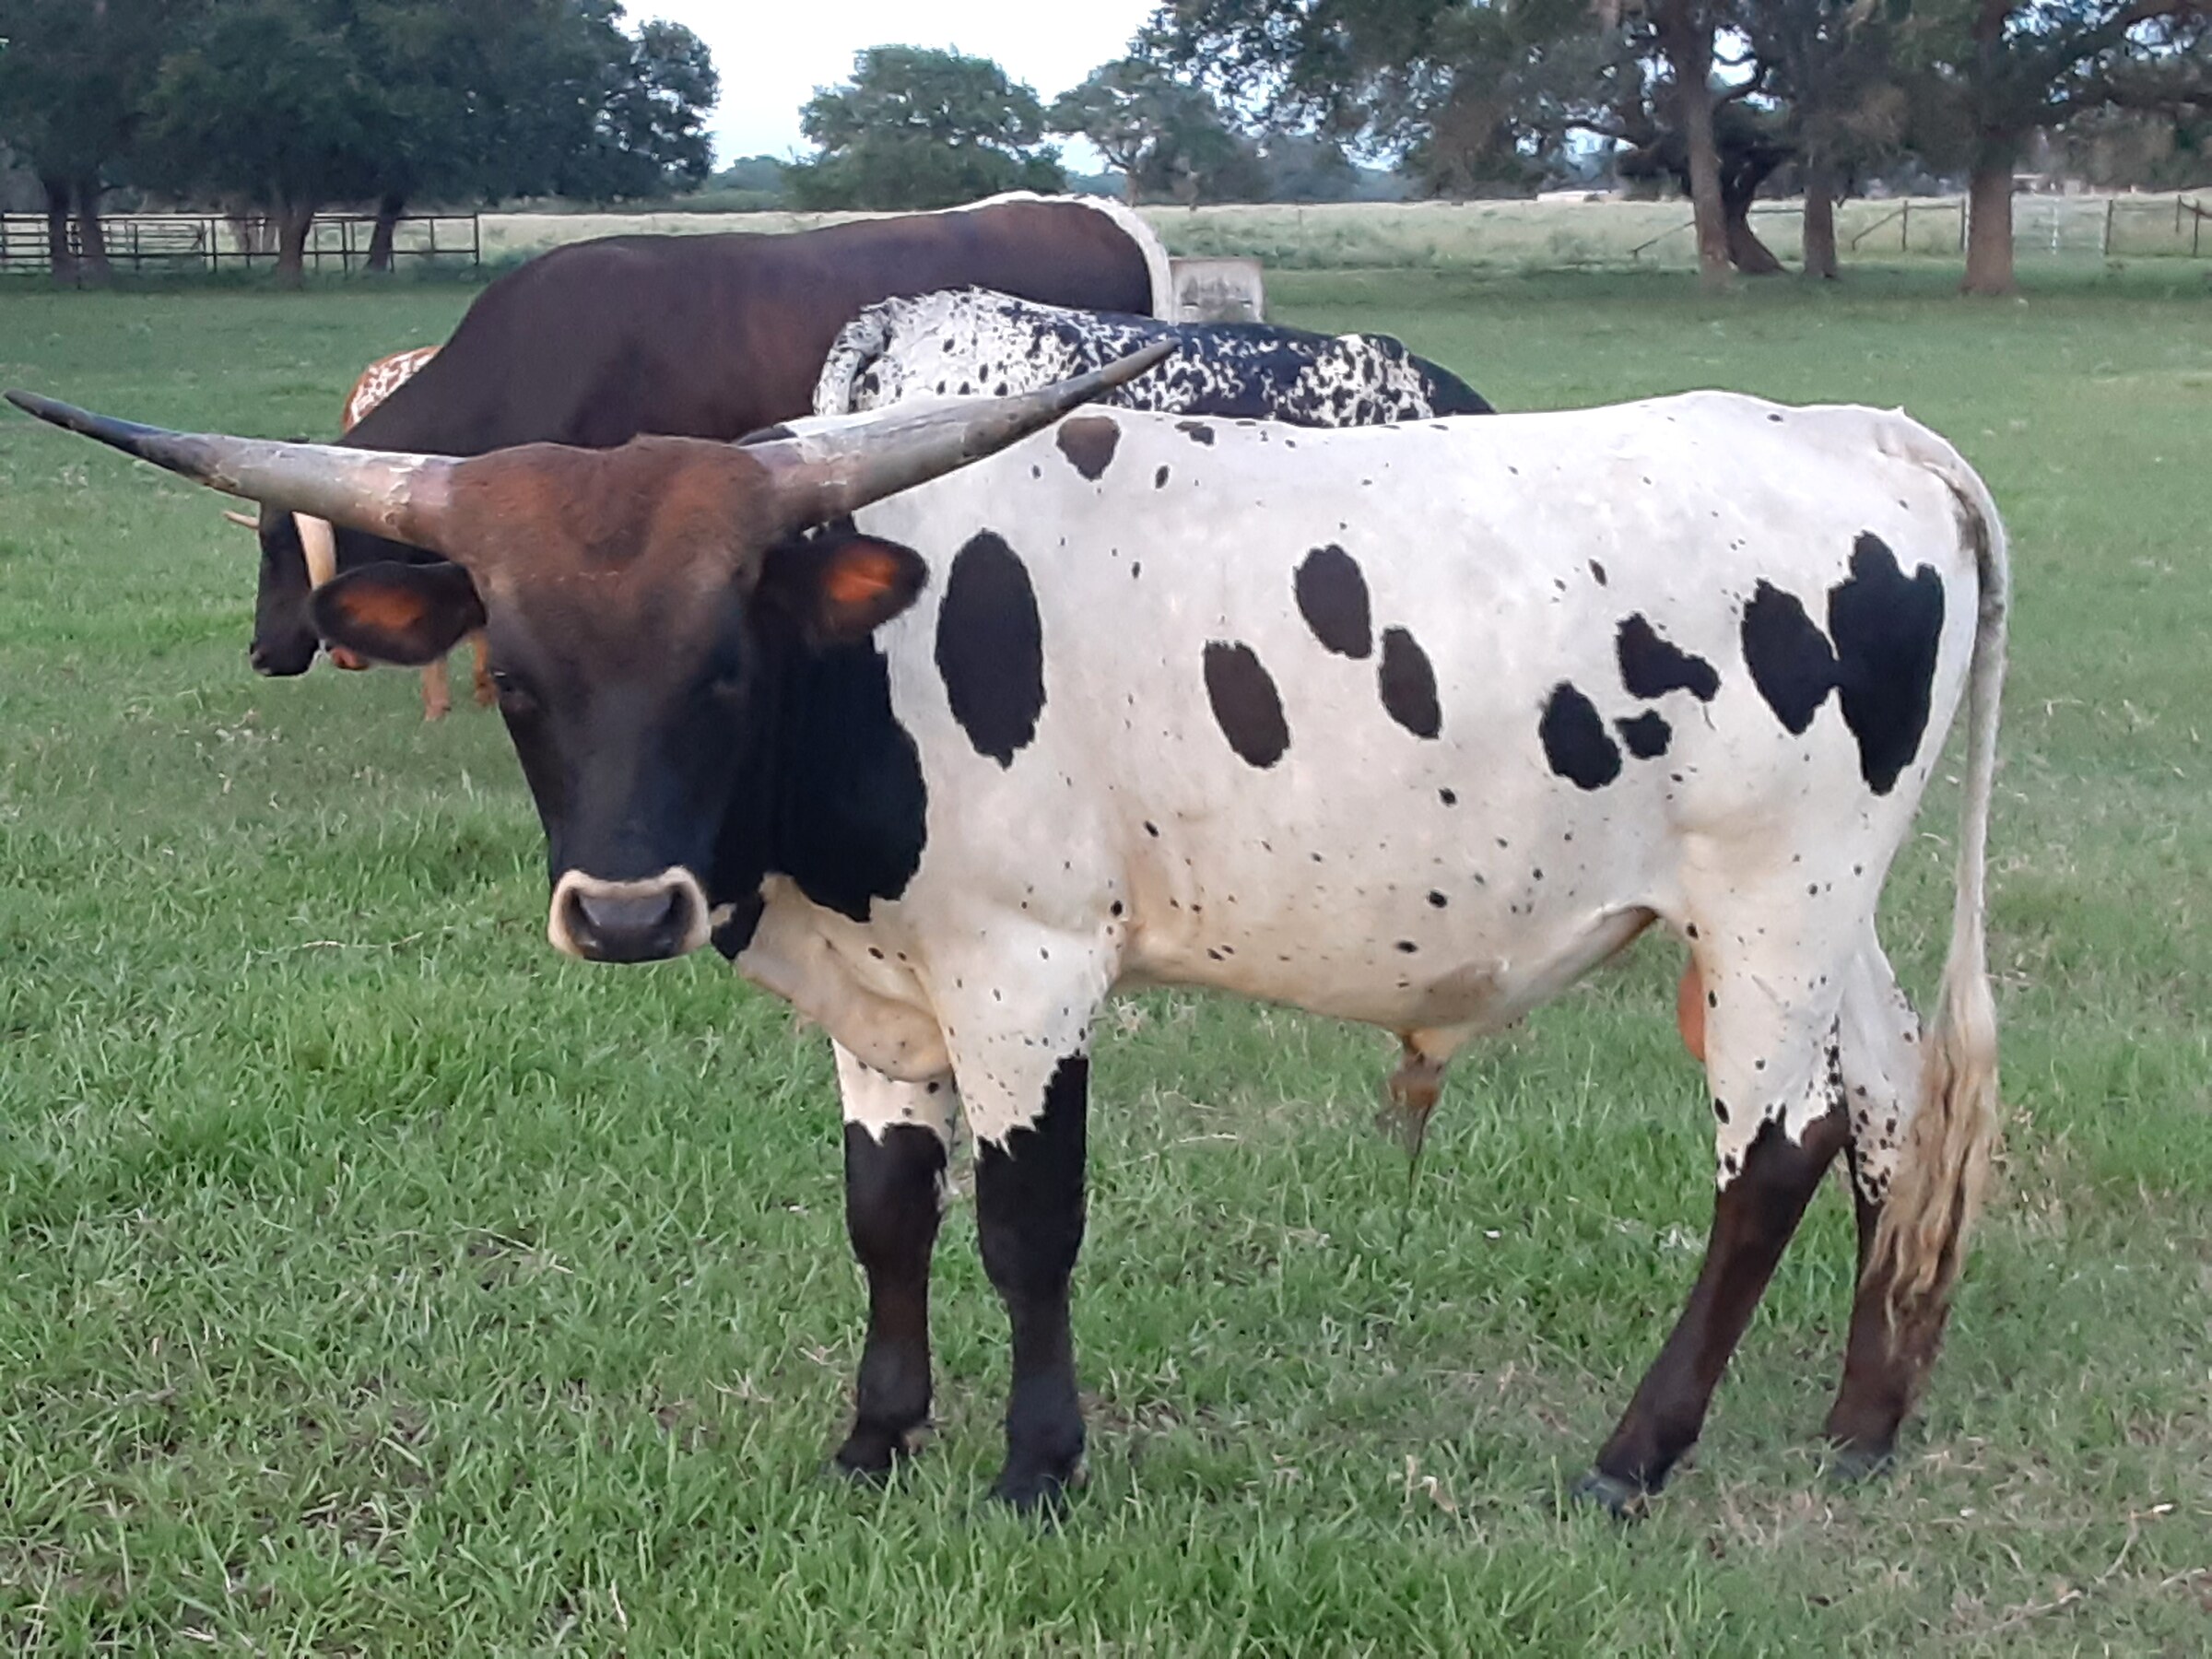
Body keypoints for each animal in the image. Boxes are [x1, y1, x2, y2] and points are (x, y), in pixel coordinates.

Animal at [11, 360, 2007, 1522]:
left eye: (722, 660)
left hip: (1771, 904)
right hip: (1826, 917)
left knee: (1772, 1154)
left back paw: (1635, 1454)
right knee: (1890, 1106)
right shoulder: (878, 993)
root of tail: (1865, 431)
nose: (629, 909)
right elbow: (885, 1210)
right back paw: (1864, 1417)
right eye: (514, 674)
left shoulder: (1027, 974)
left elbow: (1023, 1226)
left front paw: (1036, 1467)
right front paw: (876, 1438)